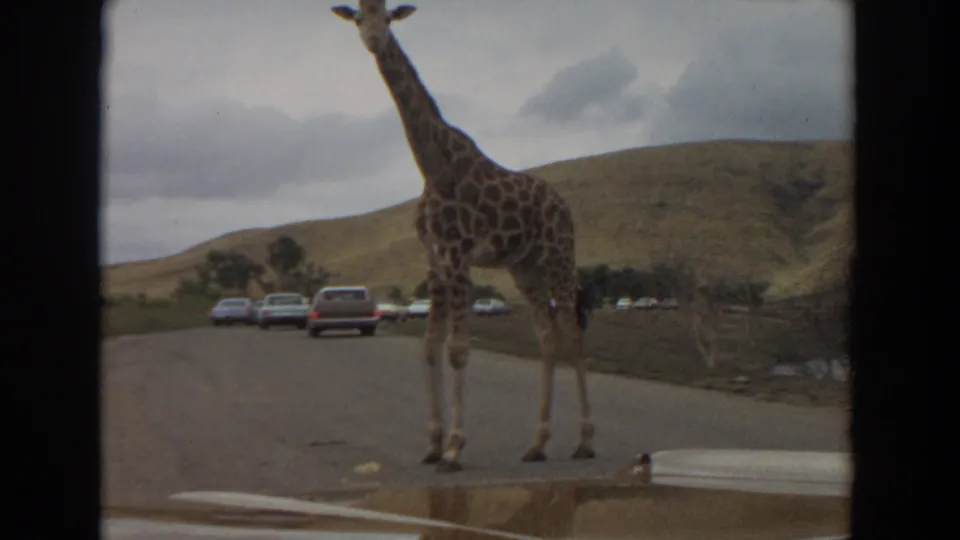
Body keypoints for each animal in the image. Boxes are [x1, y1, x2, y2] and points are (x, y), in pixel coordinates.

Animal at [331, 1, 596, 473]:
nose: (375, 41)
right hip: (525, 266)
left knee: (573, 331)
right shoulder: (435, 259)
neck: (432, 167)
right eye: (359, 19)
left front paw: (454, 447)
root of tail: (564, 207)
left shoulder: (457, 253)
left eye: (388, 18)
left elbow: (457, 349)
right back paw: (537, 444)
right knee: (547, 336)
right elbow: (428, 346)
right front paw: (433, 443)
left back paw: (584, 441)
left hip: (560, 256)